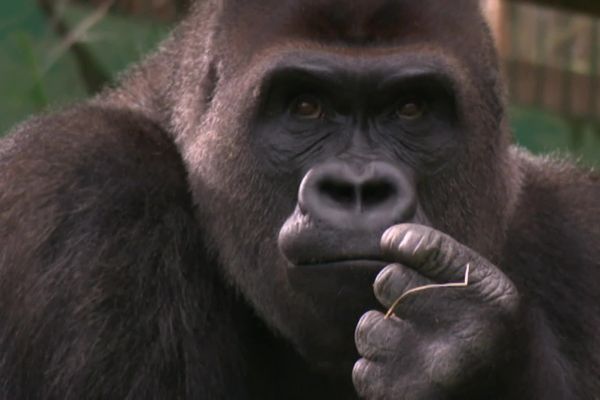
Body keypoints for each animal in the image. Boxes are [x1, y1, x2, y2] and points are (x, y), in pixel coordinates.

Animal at [1, 0, 600, 398]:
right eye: (306, 106)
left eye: (410, 108)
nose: (357, 187)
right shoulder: (89, 181)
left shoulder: (577, 228)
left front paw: (469, 357)